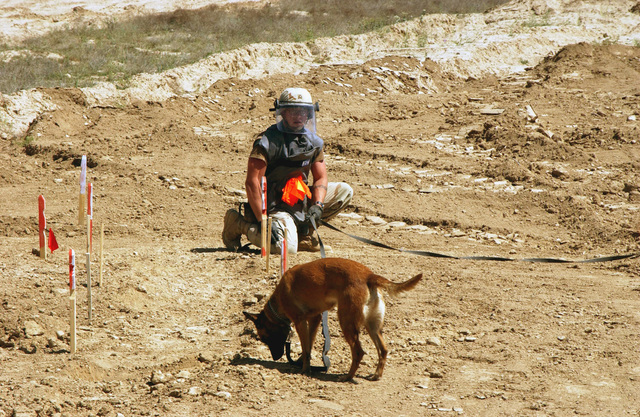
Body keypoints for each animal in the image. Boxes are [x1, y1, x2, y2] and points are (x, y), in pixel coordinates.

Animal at [242, 256, 422, 380]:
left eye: (264, 338)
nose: (275, 357)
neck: (278, 300)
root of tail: (369, 276)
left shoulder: (300, 322)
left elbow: (305, 348)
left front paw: (304, 369)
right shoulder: (314, 319)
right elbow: (309, 346)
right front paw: (304, 363)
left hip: (347, 323)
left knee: (358, 352)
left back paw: (347, 377)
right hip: (372, 327)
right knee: (383, 350)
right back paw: (376, 375)